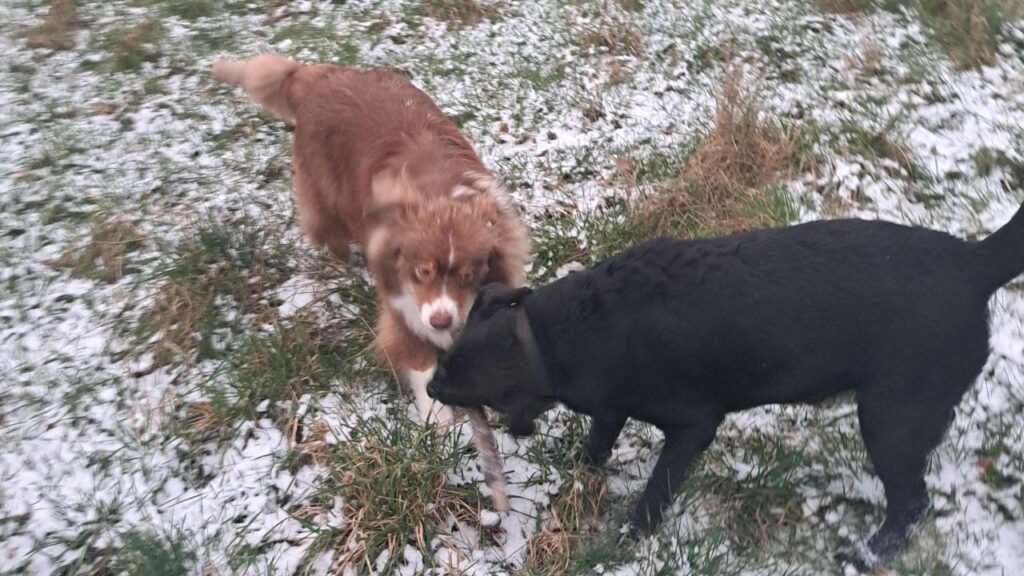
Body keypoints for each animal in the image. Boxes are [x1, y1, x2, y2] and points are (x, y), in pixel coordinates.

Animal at [208, 54, 528, 422]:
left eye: (468, 274)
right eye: (422, 272)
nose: (440, 320)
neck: (440, 198)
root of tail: (319, 75)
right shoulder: (403, 306)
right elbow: (419, 363)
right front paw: (440, 424)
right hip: (325, 199)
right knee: (331, 236)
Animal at [423, 202, 1024, 565]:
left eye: (457, 376)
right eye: (446, 361)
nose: (429, 388)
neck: (564, 331)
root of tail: (974, 264)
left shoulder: (693, 426)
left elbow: (656, 490)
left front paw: (630, 537)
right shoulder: (613, 404)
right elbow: (600, 437)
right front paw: (580, 467)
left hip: (890, 418)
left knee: (911, 502)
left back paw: (866, 556)